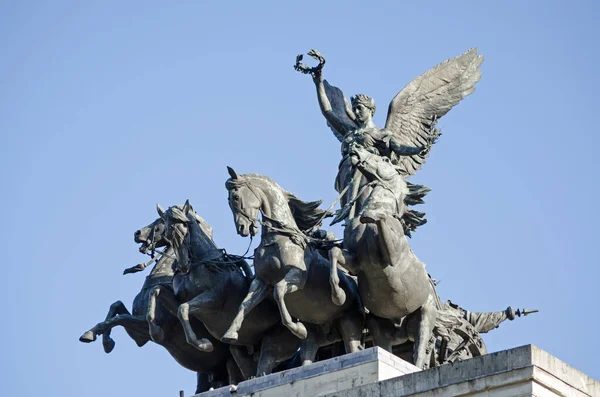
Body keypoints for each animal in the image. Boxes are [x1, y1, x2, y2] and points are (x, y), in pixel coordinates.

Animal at [219, 167, 360, 356]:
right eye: (228, 200)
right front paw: (231, 332)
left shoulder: (297, 277)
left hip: (350, 322)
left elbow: (278, 291)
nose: (242, 228)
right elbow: (244, 304)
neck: (277, 239)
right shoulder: (262, 282)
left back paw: (338, 295)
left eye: (235, 197)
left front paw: (297, 329)